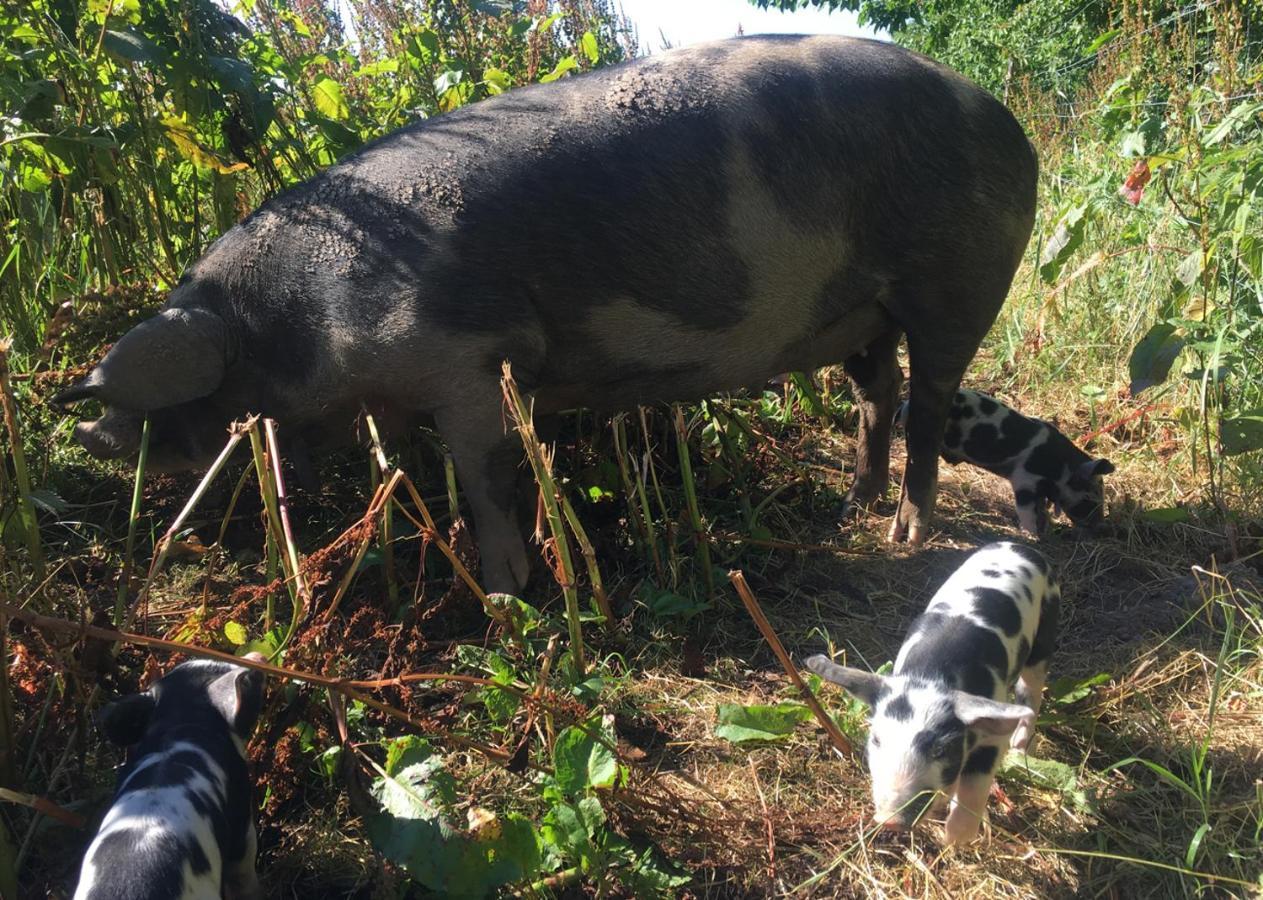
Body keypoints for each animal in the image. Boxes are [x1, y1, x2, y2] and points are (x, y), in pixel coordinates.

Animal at [56, 35, 1035, 593]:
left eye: (168, 406)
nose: (91, 436)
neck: (294, 318)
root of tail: (1005, 119)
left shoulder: (467, 355)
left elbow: (486, 475)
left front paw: (502, 592)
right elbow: (460, 472)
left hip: (955, 281)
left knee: (929, 399)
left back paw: (906, 533)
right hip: (857, 313)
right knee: (878, 393)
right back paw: (848, 511)